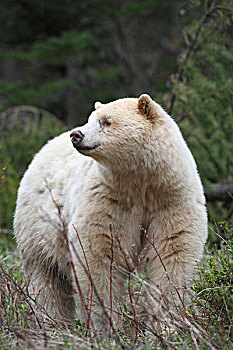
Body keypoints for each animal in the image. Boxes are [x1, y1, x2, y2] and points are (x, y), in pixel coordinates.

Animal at [13, 95, 208, 328]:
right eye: (90, 119)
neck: (141, 181)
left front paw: (168, 323)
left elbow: (173, 251)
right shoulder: (107, 200)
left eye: (106, 121)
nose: (76, 135)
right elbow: (99, 254)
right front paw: (106, 322)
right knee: (47, 278)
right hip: (37, 227)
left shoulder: (171, 199)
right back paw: (53, 322)